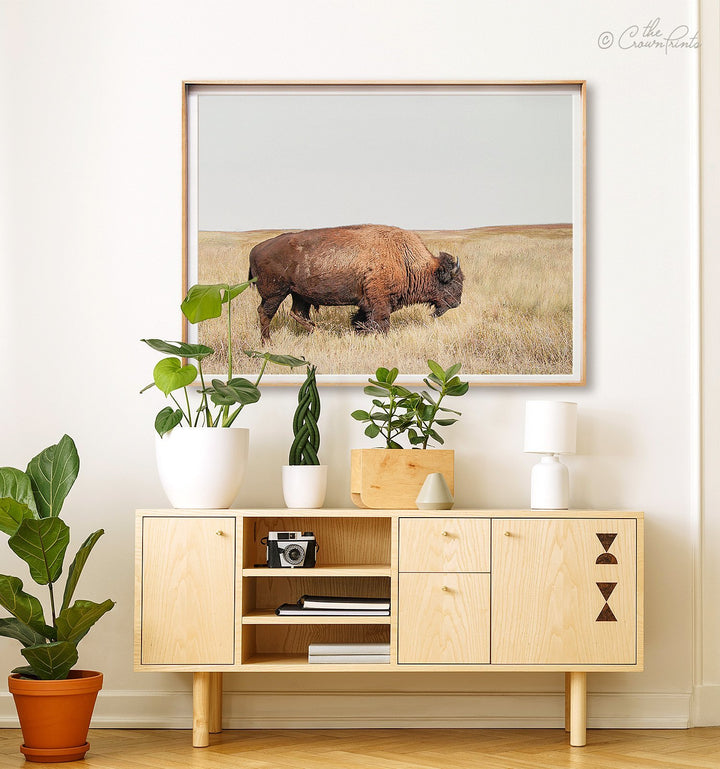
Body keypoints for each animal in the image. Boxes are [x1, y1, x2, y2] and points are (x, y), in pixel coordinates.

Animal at [247, 224, 463, 341]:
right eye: (451, 282)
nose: (457, 303)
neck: (404, 259)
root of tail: (256, 249)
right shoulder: (379, 302)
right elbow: (381, 322)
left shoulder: (365, 303)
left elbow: (361, 320)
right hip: (275, 293)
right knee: (265, 313)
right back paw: (267, 343)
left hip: (300, 294)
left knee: (298, 314)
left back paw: (321, 333)